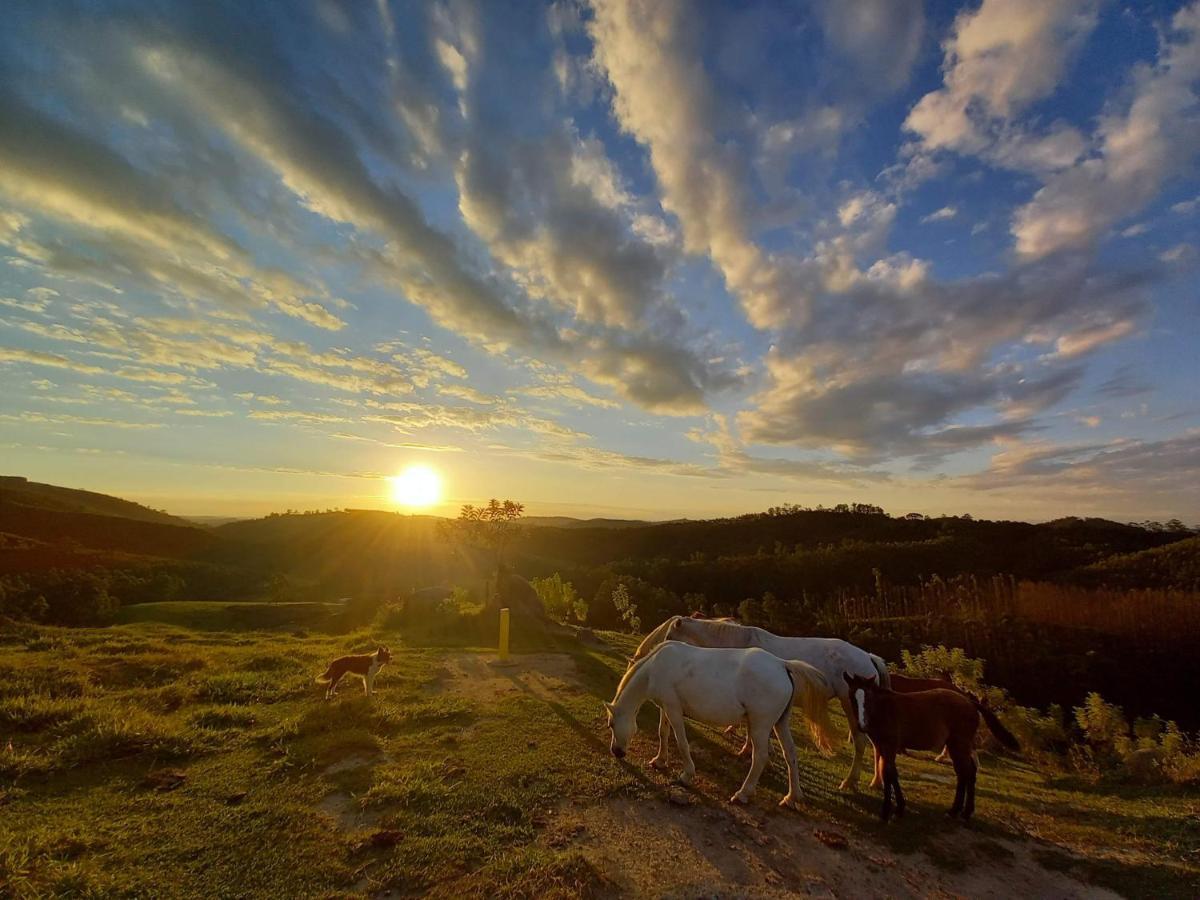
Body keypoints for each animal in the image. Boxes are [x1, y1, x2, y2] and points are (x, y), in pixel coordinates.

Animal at [600, 643, 835, 811]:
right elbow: (663, 733)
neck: (656, 666)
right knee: (791, 755)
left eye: (611, 724)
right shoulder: (666, 708)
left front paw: (686, 775)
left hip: (760, 725)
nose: (616, 752)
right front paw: (659, 761)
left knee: (760, 757)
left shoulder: (673, 709)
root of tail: (781, 664)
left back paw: (743, 794)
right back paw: (791, 797)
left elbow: (681, 741)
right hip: (780, 723)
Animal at [633, 619, 888, 792]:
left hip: (851, 706)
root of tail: (869, 657)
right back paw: (876, 781)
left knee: (860, 743)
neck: (737, 644)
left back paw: (850, 781)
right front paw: (748, 748)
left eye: (669, 634)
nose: (655, 653)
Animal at [844, 672, 1022, 820]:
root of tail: (970, 702)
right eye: (852, 697)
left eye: (868, 697)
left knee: (968, 773)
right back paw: (955, 811)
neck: (884, 710)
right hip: (954, 745)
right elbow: (887, 773)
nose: (862, 725)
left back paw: (964, 813)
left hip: (960, 743)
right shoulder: (881, 746)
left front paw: (889, 811)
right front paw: (898, 808)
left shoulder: (890, 746)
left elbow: (889, 774)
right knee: (963, 773)